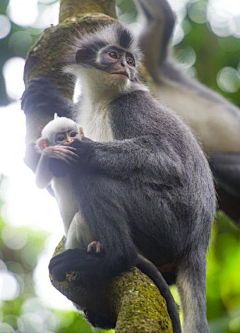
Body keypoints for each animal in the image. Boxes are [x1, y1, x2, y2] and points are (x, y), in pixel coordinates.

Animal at [35, 116, 99, 252]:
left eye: (73, 134)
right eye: (61, 138)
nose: (69, 140)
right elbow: (40, 183)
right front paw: (50, 151)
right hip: (72, 243)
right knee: (81, 219)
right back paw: (95, 243)